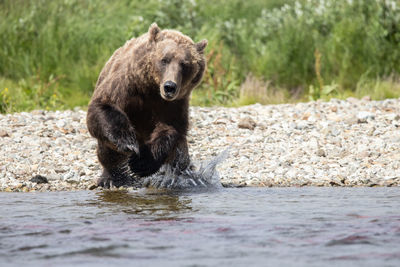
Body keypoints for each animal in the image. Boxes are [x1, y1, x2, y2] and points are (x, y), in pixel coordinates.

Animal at [86, 24, 208, 189]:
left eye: (185, 64)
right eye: (164, 59)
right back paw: (110, 177)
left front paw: (141, 163)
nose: (170, 87)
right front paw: (128, 142)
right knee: (107, 151)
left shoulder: (174, 103)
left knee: (179, 154)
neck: (151, 87)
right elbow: (103, 105)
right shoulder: (126, 83)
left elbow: (170, 128)